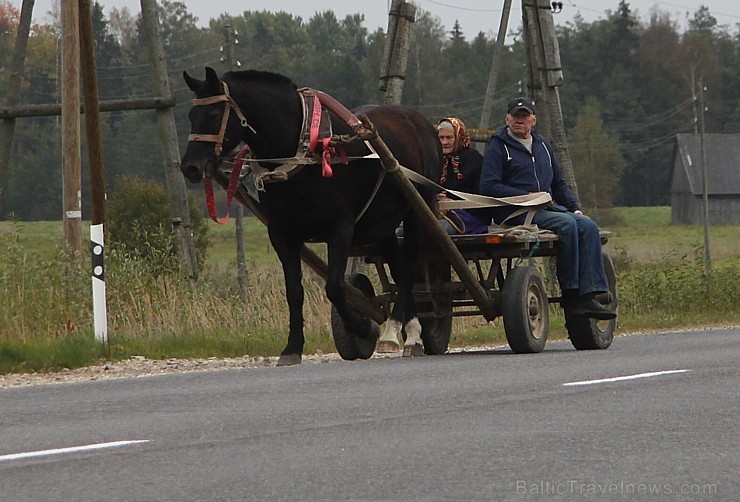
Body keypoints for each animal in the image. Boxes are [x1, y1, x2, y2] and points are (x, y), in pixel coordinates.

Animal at [182, 66, 442, 364]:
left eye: (214, 115)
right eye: (191, 115)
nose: (189, 167)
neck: (304, 152)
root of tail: (422, 122)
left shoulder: (340, 229)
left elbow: (335, 287)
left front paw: (364, 328)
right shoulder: (282, 233)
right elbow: (294, 292)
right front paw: (292, 347)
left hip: (418, 209)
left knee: (409, 270)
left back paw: (401, 333)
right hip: (384, 224)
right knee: (398, 270)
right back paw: (407, 329)